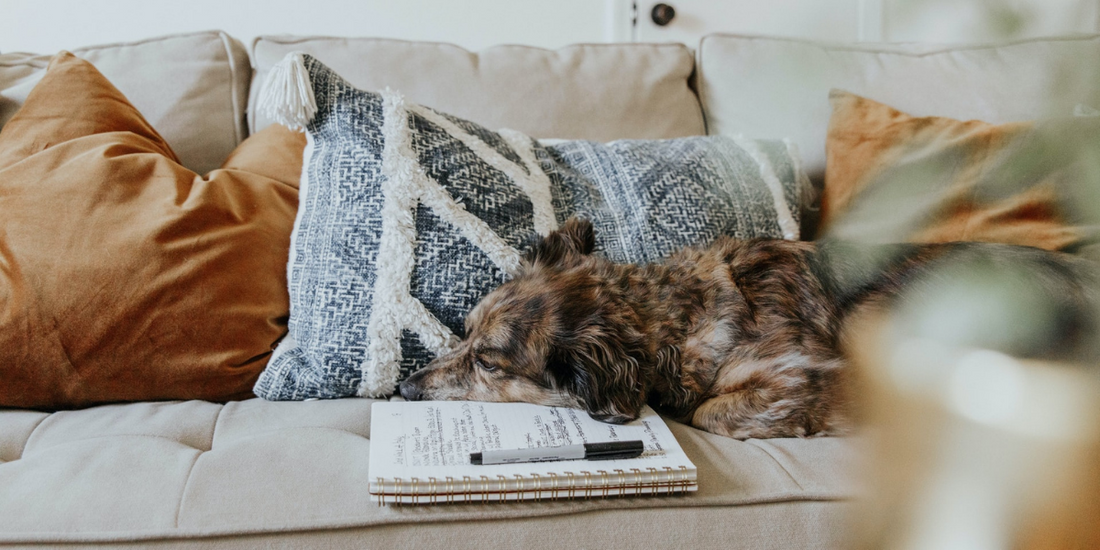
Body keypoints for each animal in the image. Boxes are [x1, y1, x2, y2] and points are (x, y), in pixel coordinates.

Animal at [400, 217, 1095, 437]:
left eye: (488, 361)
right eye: (463, 332)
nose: (404, 389)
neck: (675, 318)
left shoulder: (806, 370)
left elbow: (712, 412)